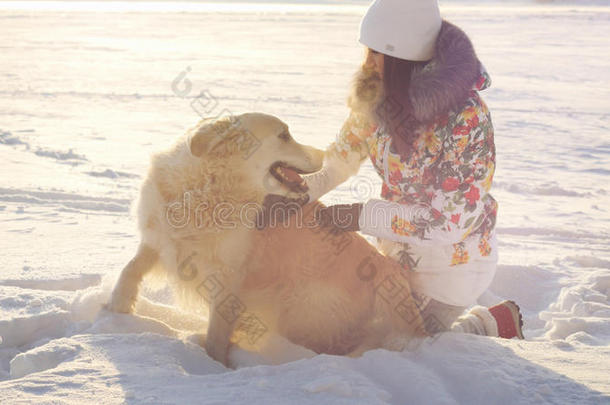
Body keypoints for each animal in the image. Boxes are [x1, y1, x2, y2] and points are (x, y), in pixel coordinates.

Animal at [108, 112, 422, 364]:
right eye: (283, 135)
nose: (324, 154)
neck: (209, 190)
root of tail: (382, 264)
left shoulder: (228, 276)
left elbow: (218, 329)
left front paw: (214, 364)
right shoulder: (160, 239)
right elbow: (130, 268)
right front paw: (116, 307)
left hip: (299, 308)